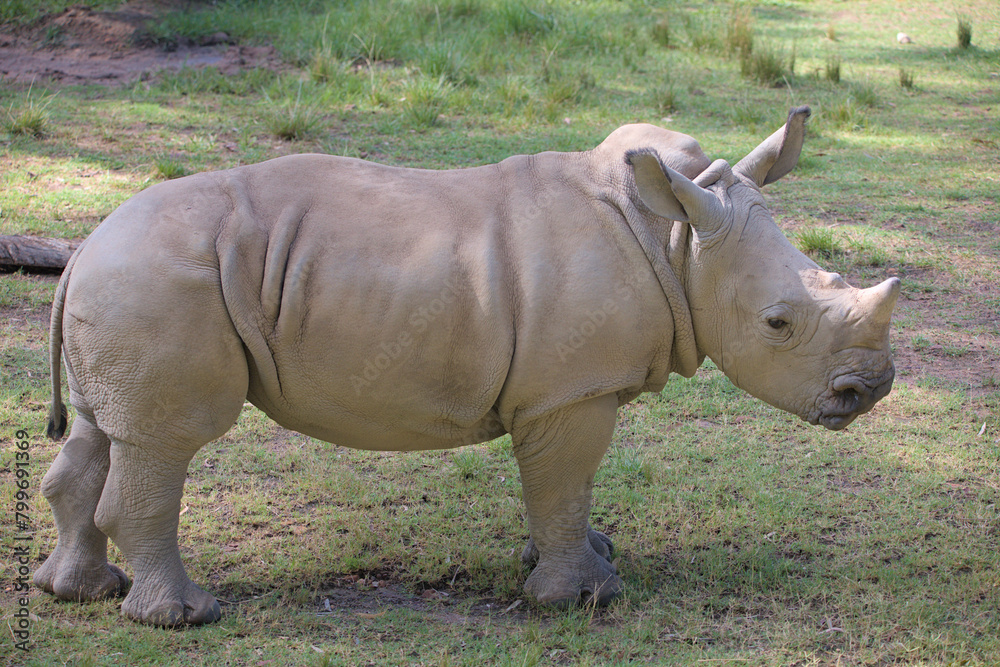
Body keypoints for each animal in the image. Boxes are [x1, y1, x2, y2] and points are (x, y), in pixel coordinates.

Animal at [36, 106, 899, 626]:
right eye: (778, 324)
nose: (870, 389)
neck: (678, 240)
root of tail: (81, 251)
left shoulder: (571, 386)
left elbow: (571, 490)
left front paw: (594, 558)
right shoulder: (569, 391)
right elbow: (562, 483)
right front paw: (580, 597)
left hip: (127, 283)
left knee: (104, 428)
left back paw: (78, 591)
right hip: (156, 280)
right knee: (166, 439)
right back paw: (185, 615)